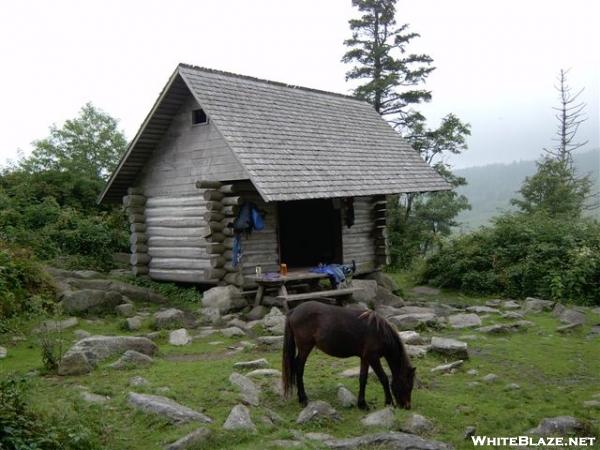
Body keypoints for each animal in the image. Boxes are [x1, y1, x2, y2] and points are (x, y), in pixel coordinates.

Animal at [280, 300, 412, 410]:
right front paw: (389, 402)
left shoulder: (365, 358)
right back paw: (303, 399)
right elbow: (383, 378)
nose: (407, 406)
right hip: (305, 347)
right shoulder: (373, 358)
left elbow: (363, 378)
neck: (379, 332)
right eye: (407, 385)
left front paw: (362, 404)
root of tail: (294, 311)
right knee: (299, 368)